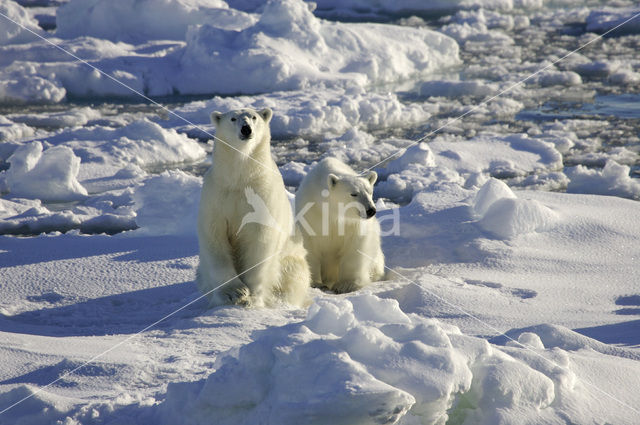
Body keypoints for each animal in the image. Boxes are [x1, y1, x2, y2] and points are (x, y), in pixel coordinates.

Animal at [199, 107, 312, 306]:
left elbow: (260, 241)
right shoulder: (217, 196)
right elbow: (215, 237)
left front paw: (251, 296)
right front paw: (234, 292)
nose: (246, 129)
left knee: (294, 279)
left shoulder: (263, 195)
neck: (240, 179)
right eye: (233, 118)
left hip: (292, 260)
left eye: (254, 117)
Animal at [296, 157, 384, 294]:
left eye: (370, 192)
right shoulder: (310, 213)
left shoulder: (353, 223)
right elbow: (309, 245)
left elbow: (355, 247)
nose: (371, 210)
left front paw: (346, 285)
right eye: (354, 194)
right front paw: (315, 283)